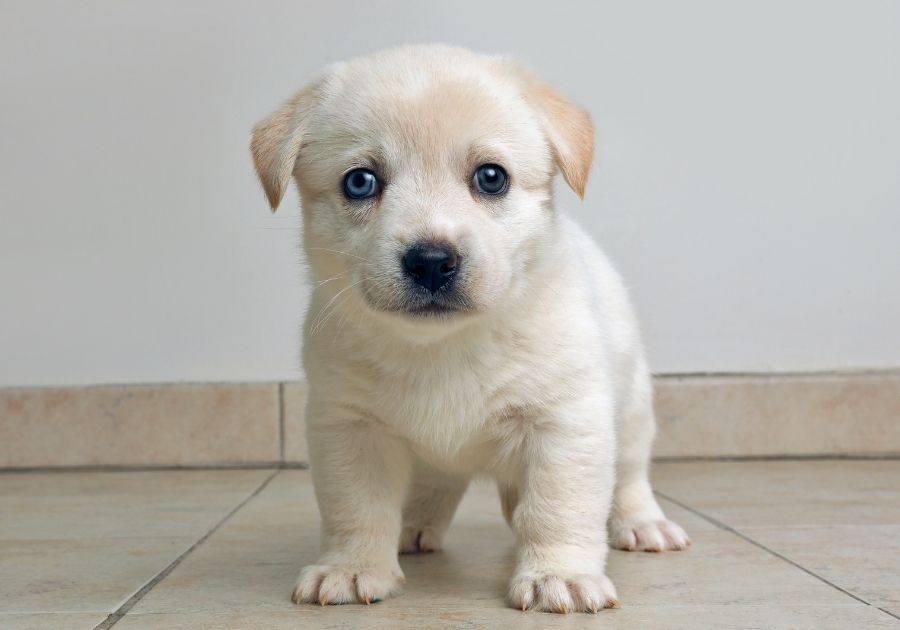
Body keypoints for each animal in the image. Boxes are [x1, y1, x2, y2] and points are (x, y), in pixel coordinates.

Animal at [253, 45, 688, 616]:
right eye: (360, 182)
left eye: (491, 177)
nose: (432, 262)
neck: (445, 347)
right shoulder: (350, 428)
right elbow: (357, 508)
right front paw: (351, 568)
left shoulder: (565, 425)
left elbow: (558, 508)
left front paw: (559, 576)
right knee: (435, 486)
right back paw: (414, 527)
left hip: (632, 413)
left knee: (630, 478)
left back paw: (642, 525)